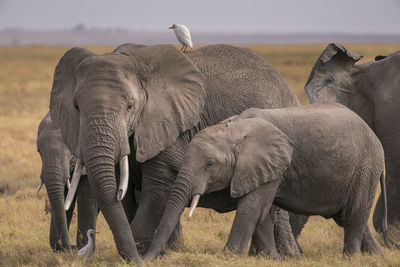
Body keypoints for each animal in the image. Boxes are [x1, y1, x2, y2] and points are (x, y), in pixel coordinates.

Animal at [50, 44, 298, 264]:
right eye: (76, 107)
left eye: (130, 106)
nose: (138, 259)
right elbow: (125, 194)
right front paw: (156, 252)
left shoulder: (170, 124)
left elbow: (159, 185)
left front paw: (145, 253)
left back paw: (282, 257)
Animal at [145, 101, 388, 260]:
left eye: (210, 164)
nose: (147, 259)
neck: (234, 128)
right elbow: (261, 213)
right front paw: (271, 259)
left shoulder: (271, 162)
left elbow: (251, 208)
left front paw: (228, 257)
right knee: (347, 217)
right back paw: (378, 257)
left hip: (366, 167)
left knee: (353, 216)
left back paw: (350, 259)